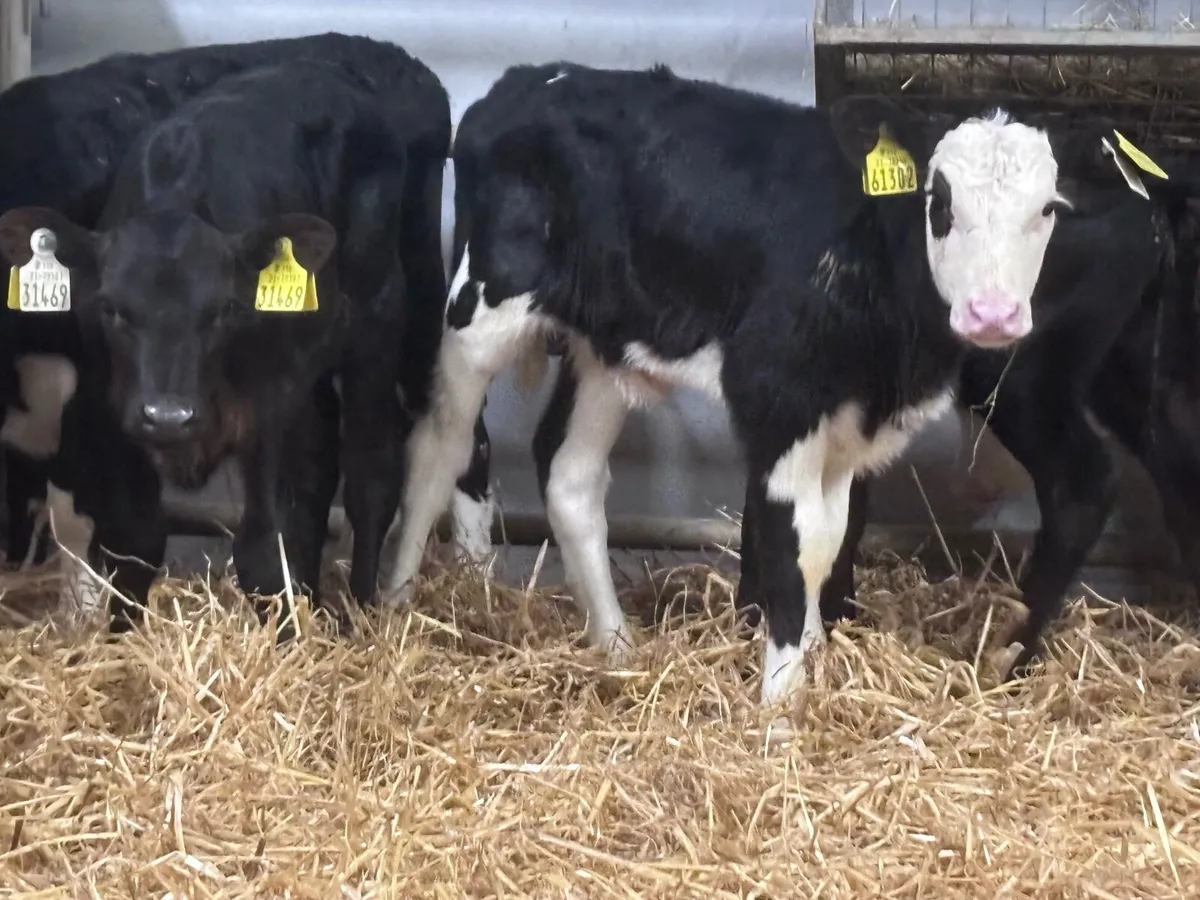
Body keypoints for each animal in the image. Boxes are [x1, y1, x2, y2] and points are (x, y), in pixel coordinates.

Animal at [0, 33, 496, 615]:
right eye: (112, 309)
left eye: (225, 309)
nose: (169, 414)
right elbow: (134, 538)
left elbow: (260, 548)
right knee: (324, 462)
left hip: (398, 309)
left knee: (394, 461)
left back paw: (390, 602)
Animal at [377, 60, 1189, 706]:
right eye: (938, 200)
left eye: (1048, 209)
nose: (993, 313)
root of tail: (527, 80)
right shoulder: (780, 402)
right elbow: (787, 550)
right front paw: (778, 711)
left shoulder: (845, 426)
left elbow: (826, 542)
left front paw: (815, 668)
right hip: (479, 307)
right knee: (438, 448)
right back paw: (396, 604)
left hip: (606, 346)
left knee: (569, 474)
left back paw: (614, 645)